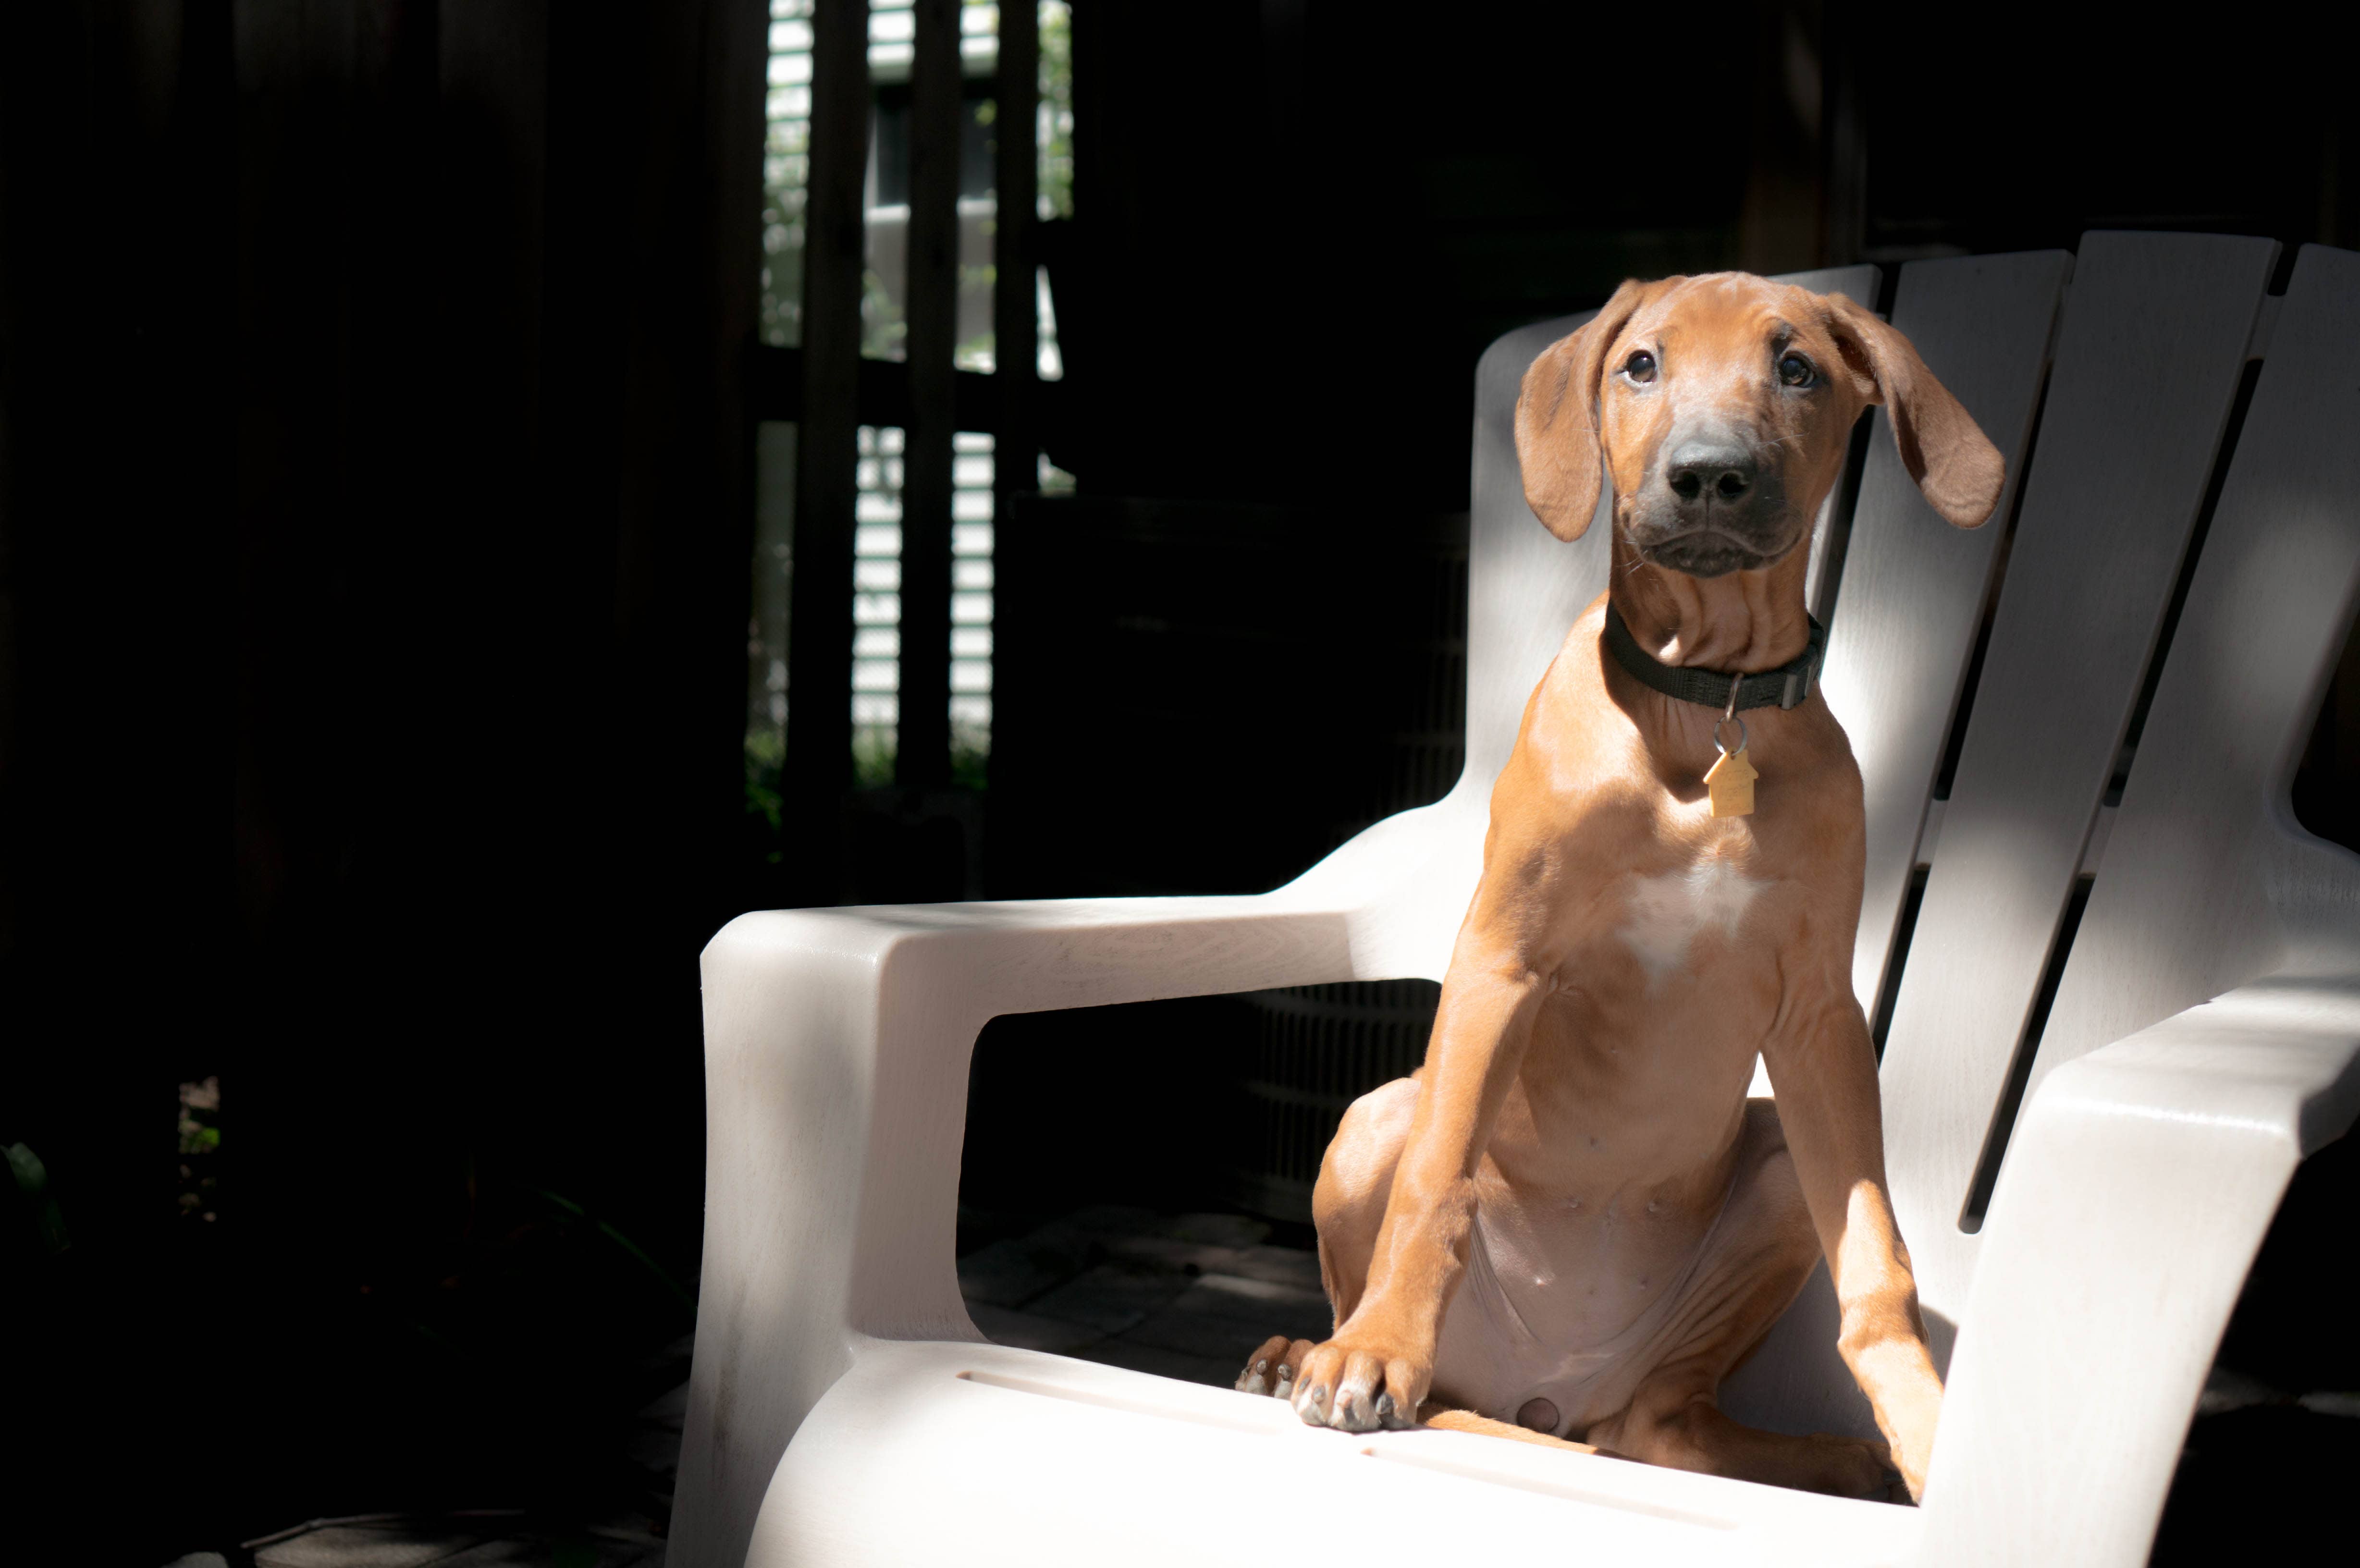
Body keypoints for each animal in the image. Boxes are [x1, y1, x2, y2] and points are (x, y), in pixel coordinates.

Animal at [1246, 275, 2001, 1502]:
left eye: (1795, 367)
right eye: (1640, 364)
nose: (1706, 474)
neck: (1706, 713)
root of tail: (1539, 1391)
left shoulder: (1816, 1019)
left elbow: (1877, 1264)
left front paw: (1930, 1437)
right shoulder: (1501, 959)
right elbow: (1436, 1182)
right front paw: (1373, 1351)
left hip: (1774, 1174)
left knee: (1661, 1428)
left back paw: (1837, 1460)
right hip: (1374, 1112)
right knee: (1393, 1216)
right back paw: (1305, 1351)